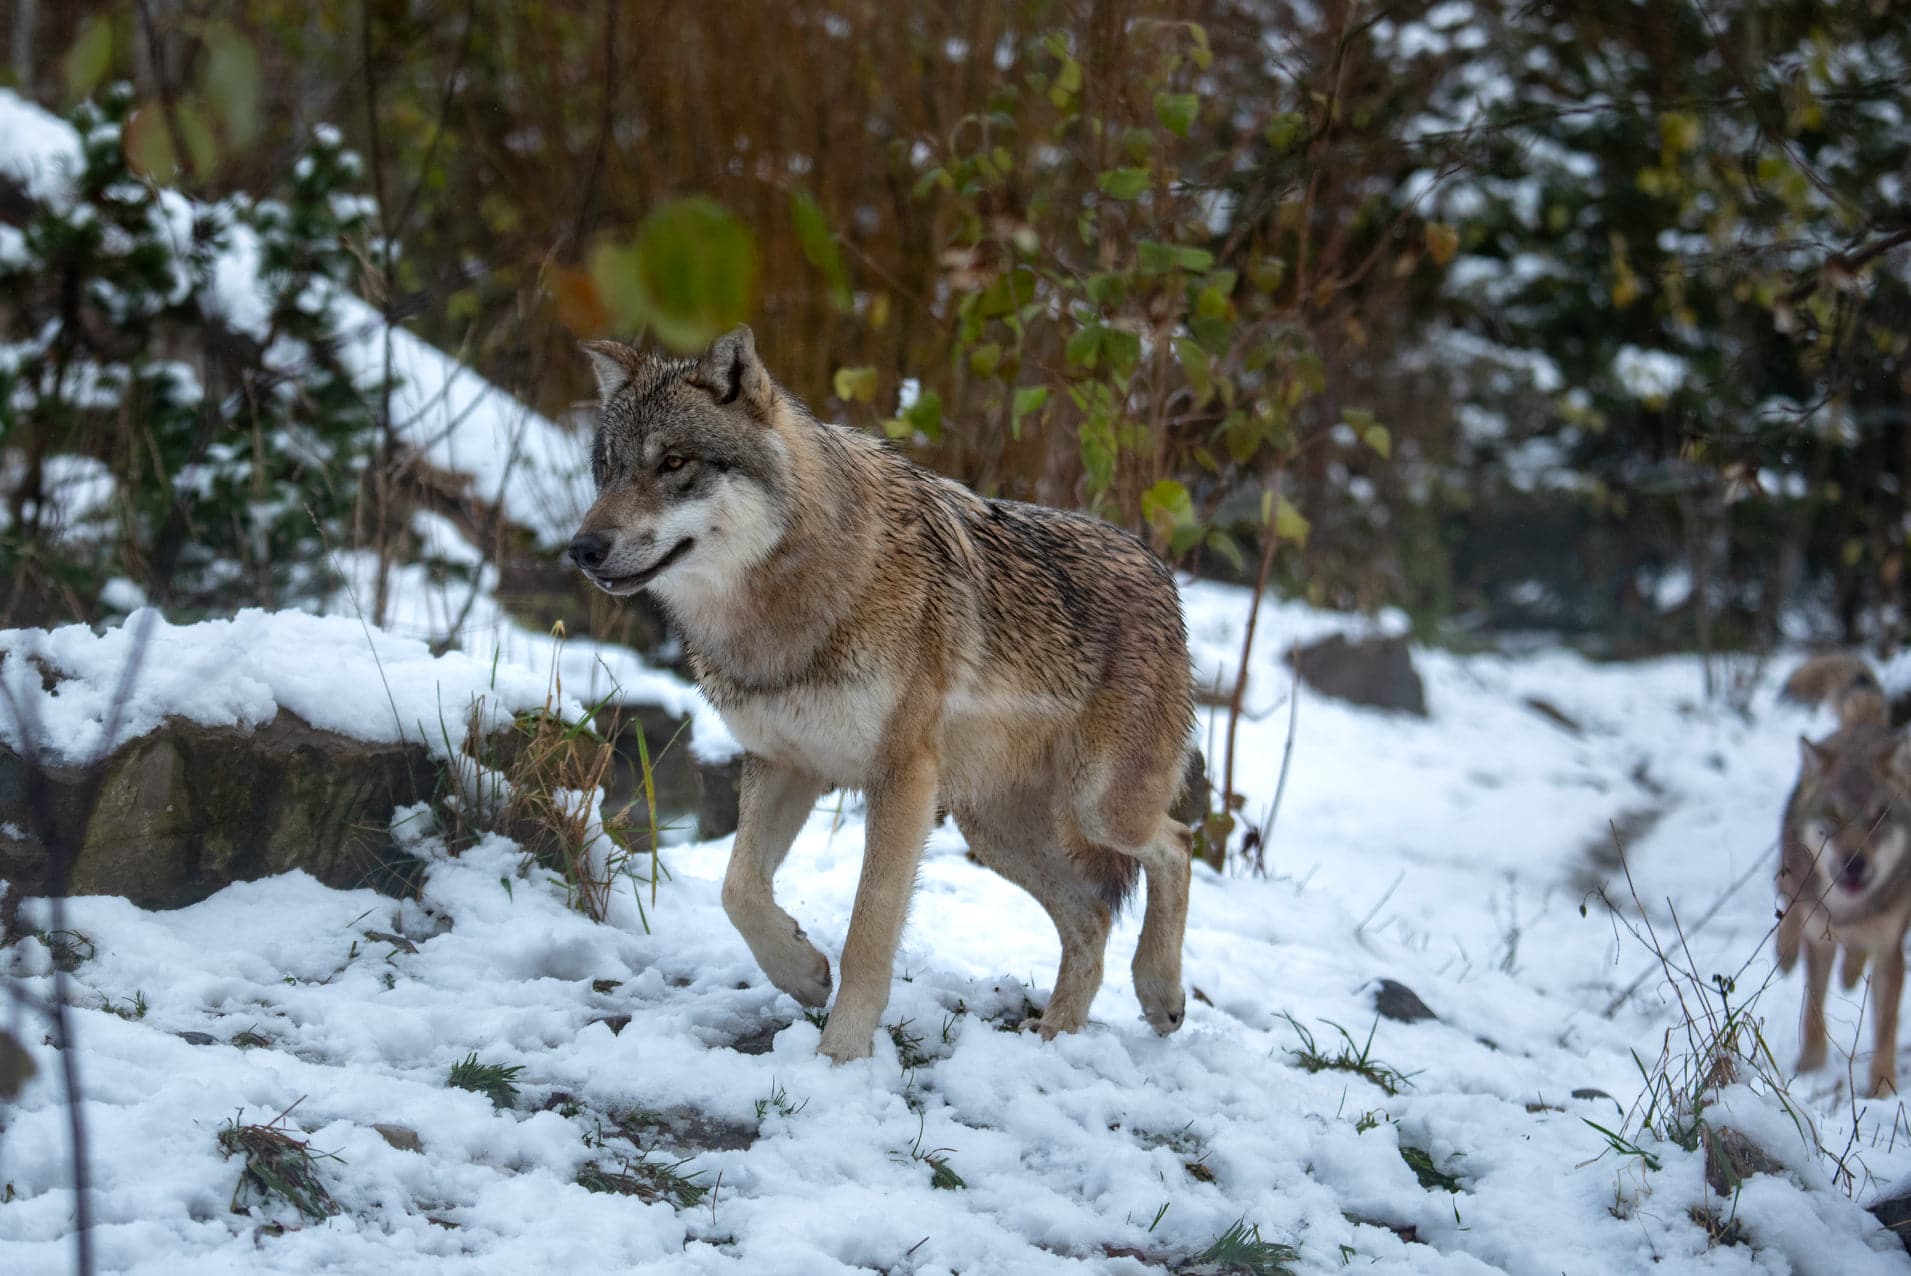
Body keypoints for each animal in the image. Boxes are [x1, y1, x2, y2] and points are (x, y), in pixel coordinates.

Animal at [565, 324, 1192, 1062]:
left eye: (673, 462)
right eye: (608, 469)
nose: (582, 548)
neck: (785, 609)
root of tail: (1158, 567)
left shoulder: (901, 780)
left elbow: (868, 931)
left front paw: (839, 1057)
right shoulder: (785, 763)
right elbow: (737, 890)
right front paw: (802, 973)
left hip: (1097, 809)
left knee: (1176, 844)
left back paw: (1158, 993)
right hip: (992, 830)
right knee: (1092, 913)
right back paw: (1054, 1038)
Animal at [1773, 653, 1911, 1100]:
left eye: (1879, 817)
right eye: (1833, 816)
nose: (1854, 864)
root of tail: (1863, 726)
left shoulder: (1890, 952)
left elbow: (1885, 1029)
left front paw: (1883, 1090)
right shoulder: (1820, 939)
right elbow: (1813, 1010)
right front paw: (1810, 1069)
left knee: (1852, 962)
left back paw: (1850, 973)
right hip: (1789, 874)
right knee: (1787, 903)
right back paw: (1784, 952)